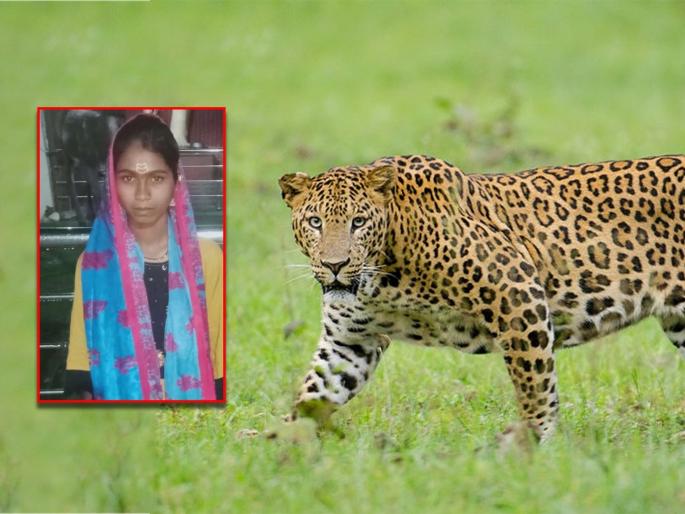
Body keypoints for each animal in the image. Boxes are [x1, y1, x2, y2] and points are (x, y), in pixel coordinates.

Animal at [279, 154, 685, 440]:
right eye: (315, 222)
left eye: (358, 222)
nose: (334, 265)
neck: (381, 277)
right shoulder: (350, 341)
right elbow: (315, 392)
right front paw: (283, 447)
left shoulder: (519, 296)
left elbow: (535, 385)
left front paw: (531, 444)